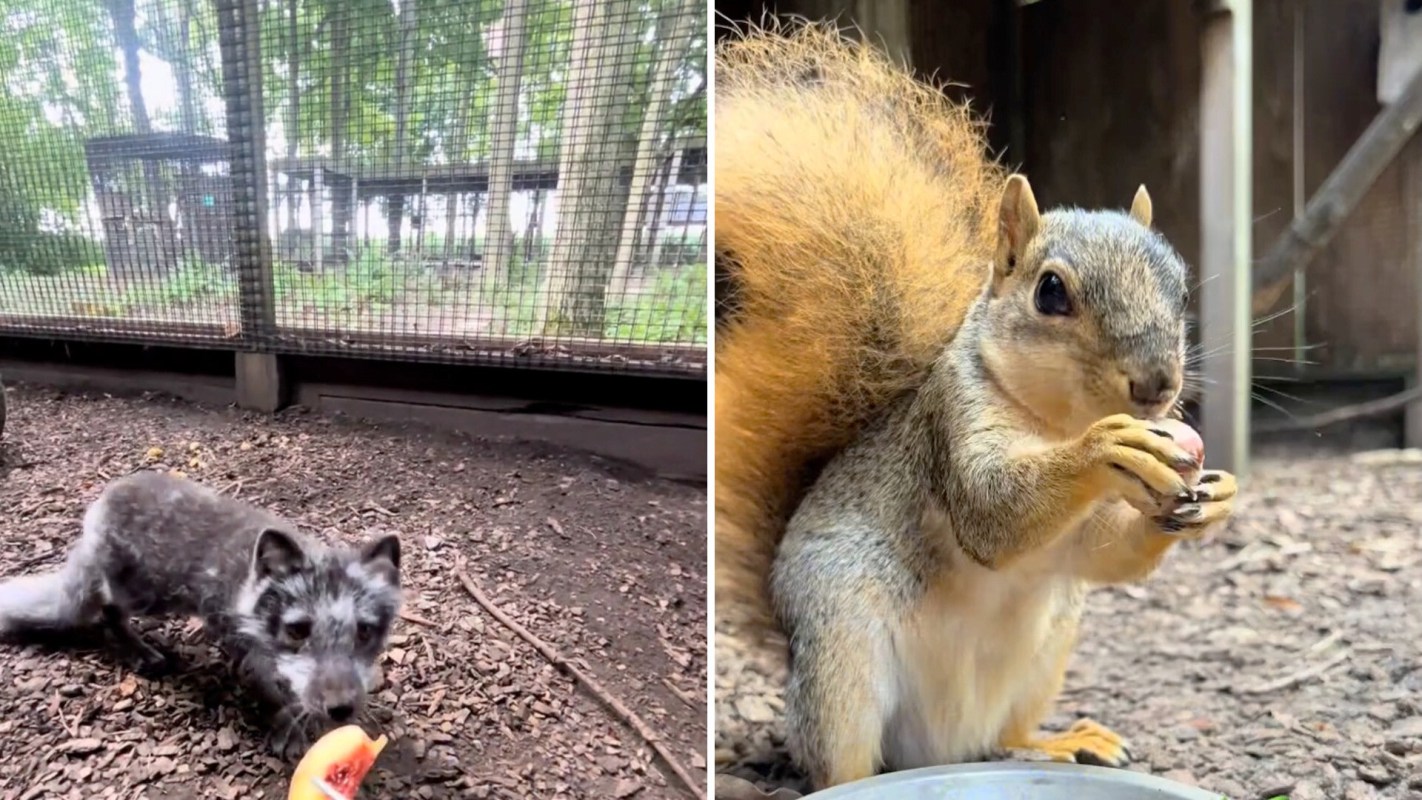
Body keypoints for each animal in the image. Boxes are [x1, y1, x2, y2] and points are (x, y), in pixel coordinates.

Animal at [0, 470, 403, 758]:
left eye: (364, 632)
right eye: (298, 630)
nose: (342, 709)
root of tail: (102, 501)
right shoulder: (238, 640)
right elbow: (274, 691)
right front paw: (287, 726)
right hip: (146, 595)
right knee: (106, 612)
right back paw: (140, 653)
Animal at [714, 20, 1239, 790]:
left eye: (1179, 286)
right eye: (1050, 292)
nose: (1157, 388)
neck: (1053, 421)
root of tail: (940, 748)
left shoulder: (1077, 541)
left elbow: (1107, 553)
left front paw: (1215, 495)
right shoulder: (951, 423)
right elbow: (992, 513)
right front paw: (1108, 448)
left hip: (1050, 644)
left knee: (1007, 733)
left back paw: (1060, 740)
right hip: (843, 647)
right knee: (840, 755)